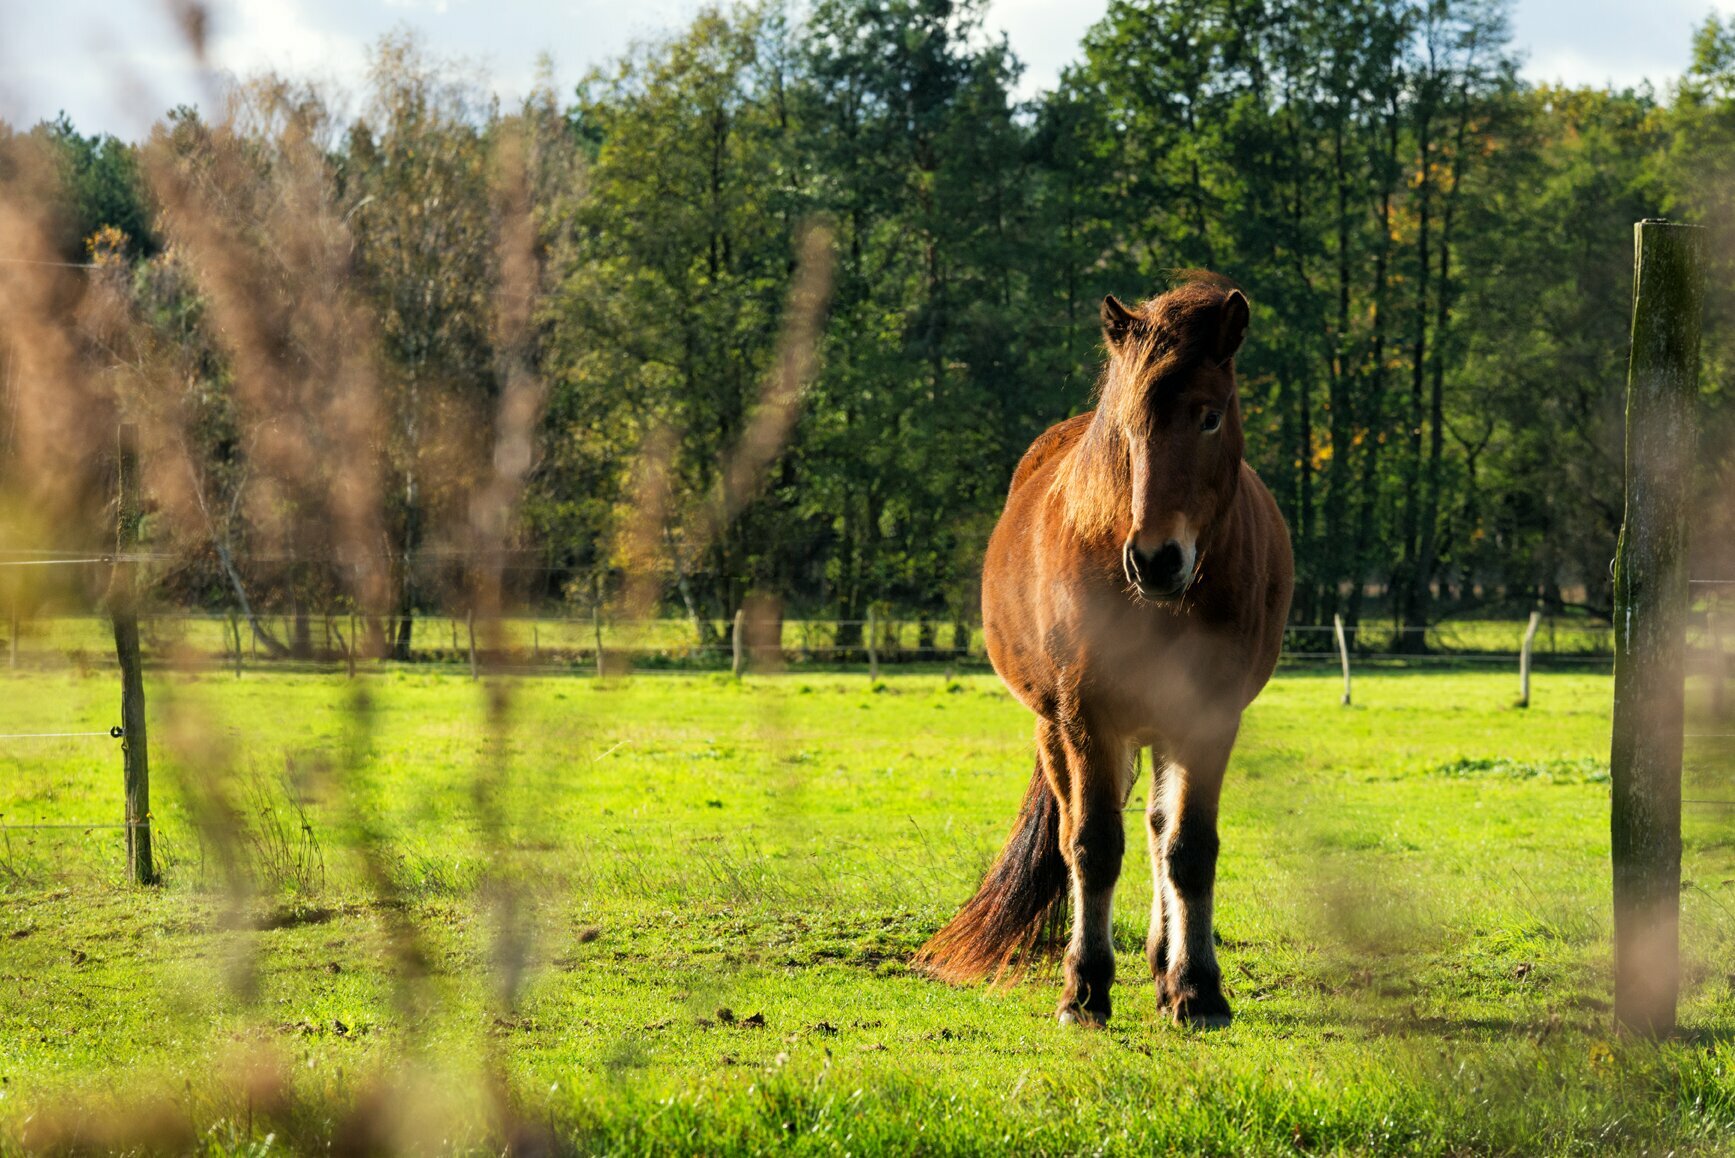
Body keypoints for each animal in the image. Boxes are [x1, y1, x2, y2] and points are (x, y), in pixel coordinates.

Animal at [916, 276, 1297, 1027]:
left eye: (1209, 417)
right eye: (1125, 423)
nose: (1155, 559)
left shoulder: (1209, 717)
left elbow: (1189, 848)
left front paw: (1197, 988)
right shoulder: (1086, 716)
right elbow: (1092, 846)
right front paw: (1085, 987)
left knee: (1157, 828)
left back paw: (1164, 962)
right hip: (1054, 728)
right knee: (1079, 830)